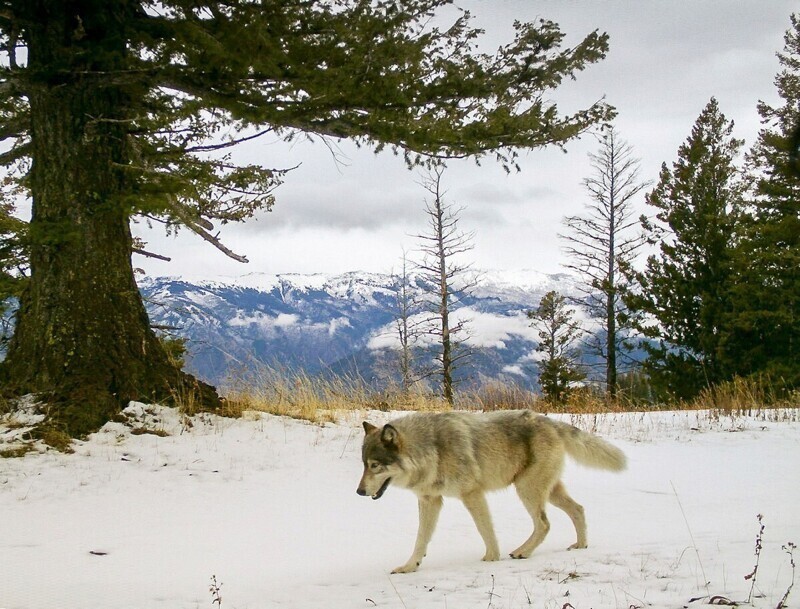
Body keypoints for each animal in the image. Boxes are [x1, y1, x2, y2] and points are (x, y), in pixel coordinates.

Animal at [356, 410, 624, 572]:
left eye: (375, 465)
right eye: (363, 465)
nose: (358, 491)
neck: (432, 450)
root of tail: (550, 421)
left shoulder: (472, 494)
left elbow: (485, 530)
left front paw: (491, 559)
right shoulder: (430, 500)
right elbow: (420, 539)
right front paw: (409, 567)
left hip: (527, 490)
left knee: (544, 523)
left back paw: (522, 552)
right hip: (548, 492)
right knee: (578, 509)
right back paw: (580, 545)